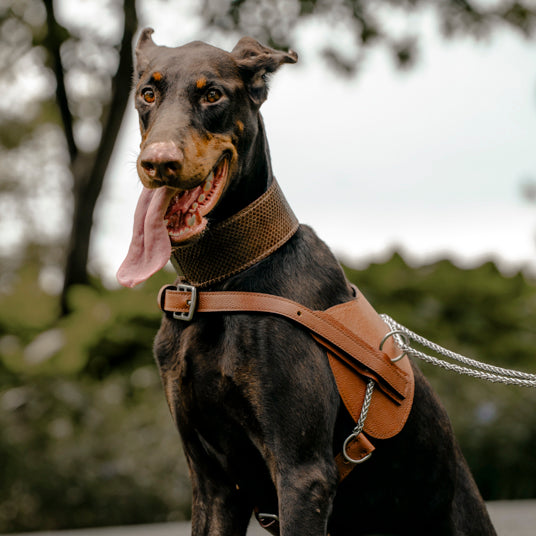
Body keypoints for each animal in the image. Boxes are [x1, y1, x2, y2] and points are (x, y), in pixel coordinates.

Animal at [119, 30, 496, 536]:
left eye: (212, 94)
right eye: (147, 93)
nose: (158, 162)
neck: (217, 286)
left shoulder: (301, 473)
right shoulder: (212, 482)